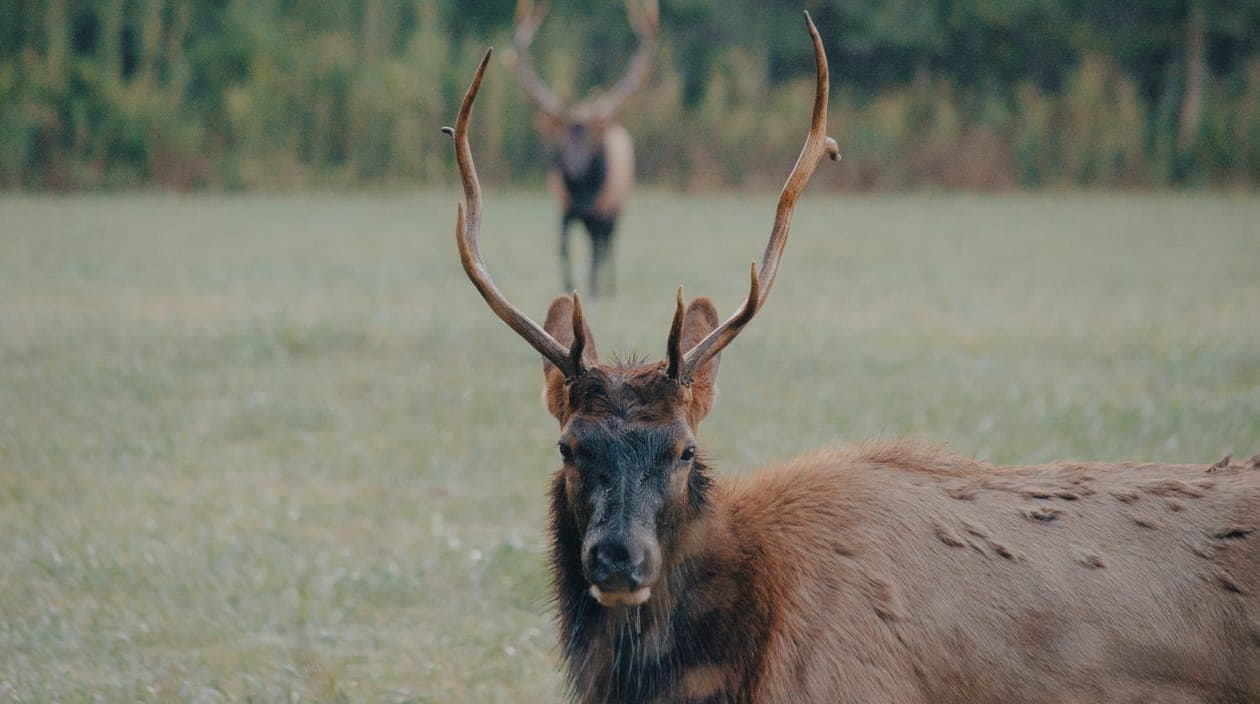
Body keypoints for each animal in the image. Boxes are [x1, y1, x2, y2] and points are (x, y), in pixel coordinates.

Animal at [509, 0, 660, 295]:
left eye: (591, 141)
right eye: (562, 139)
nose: (574, 169)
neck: (583, 197)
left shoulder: (603, 212)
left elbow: (596, 255)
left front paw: (593, 289)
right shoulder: (564, 209)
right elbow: (563, 247)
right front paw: (569, 285)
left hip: (617, 211)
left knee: (608, 247)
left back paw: (608, 287)